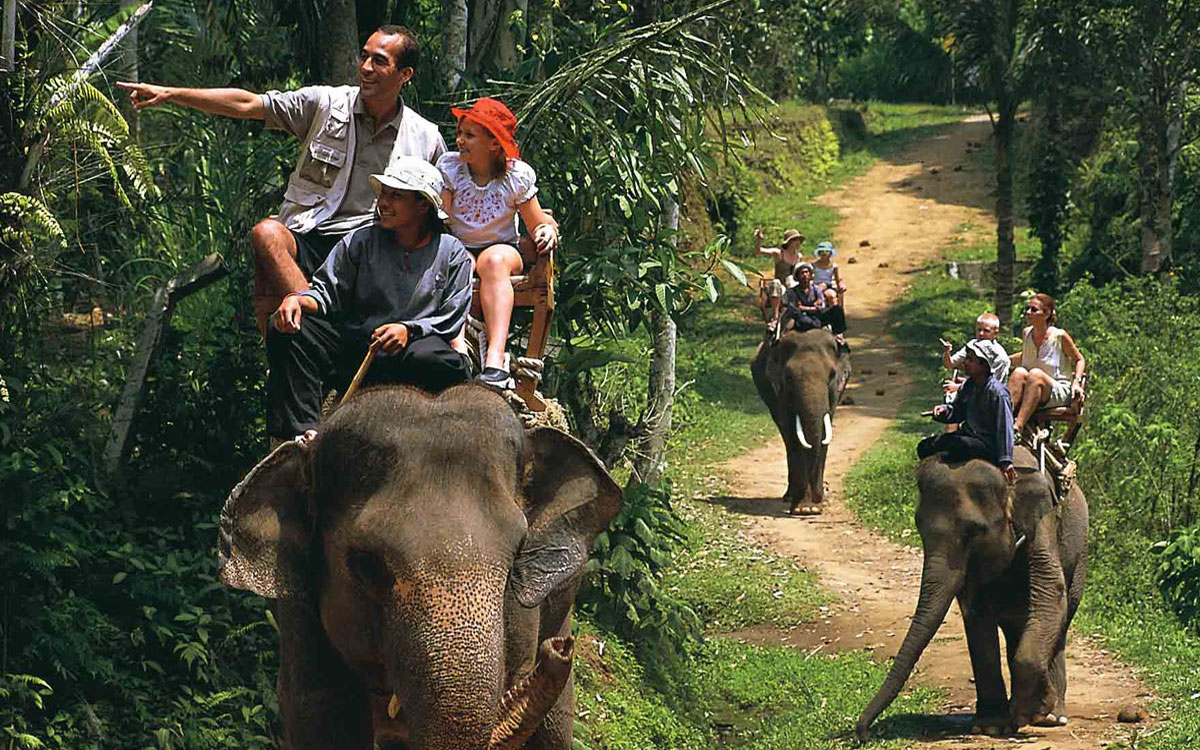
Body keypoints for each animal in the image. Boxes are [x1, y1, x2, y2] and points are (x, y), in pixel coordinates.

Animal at [750, 327, 852, 515]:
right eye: (788, 377)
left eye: (832, 375)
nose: (820, 496)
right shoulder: (778, 389)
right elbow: (792, 432)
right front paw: (804, 509)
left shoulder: (835, 392)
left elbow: (825, 432)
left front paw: (812, 508)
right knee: (786, 437)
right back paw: (790, 497)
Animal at [856, 445, 1088, 739]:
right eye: (920, 529)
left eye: (975, 531)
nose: (864, 732)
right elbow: (975, 612)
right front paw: (991, 726)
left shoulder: (1043, 521)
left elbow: (1050, 590)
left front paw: (1033, 713)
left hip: (1079, 557)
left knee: (1060, 618)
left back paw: (1052, 717)